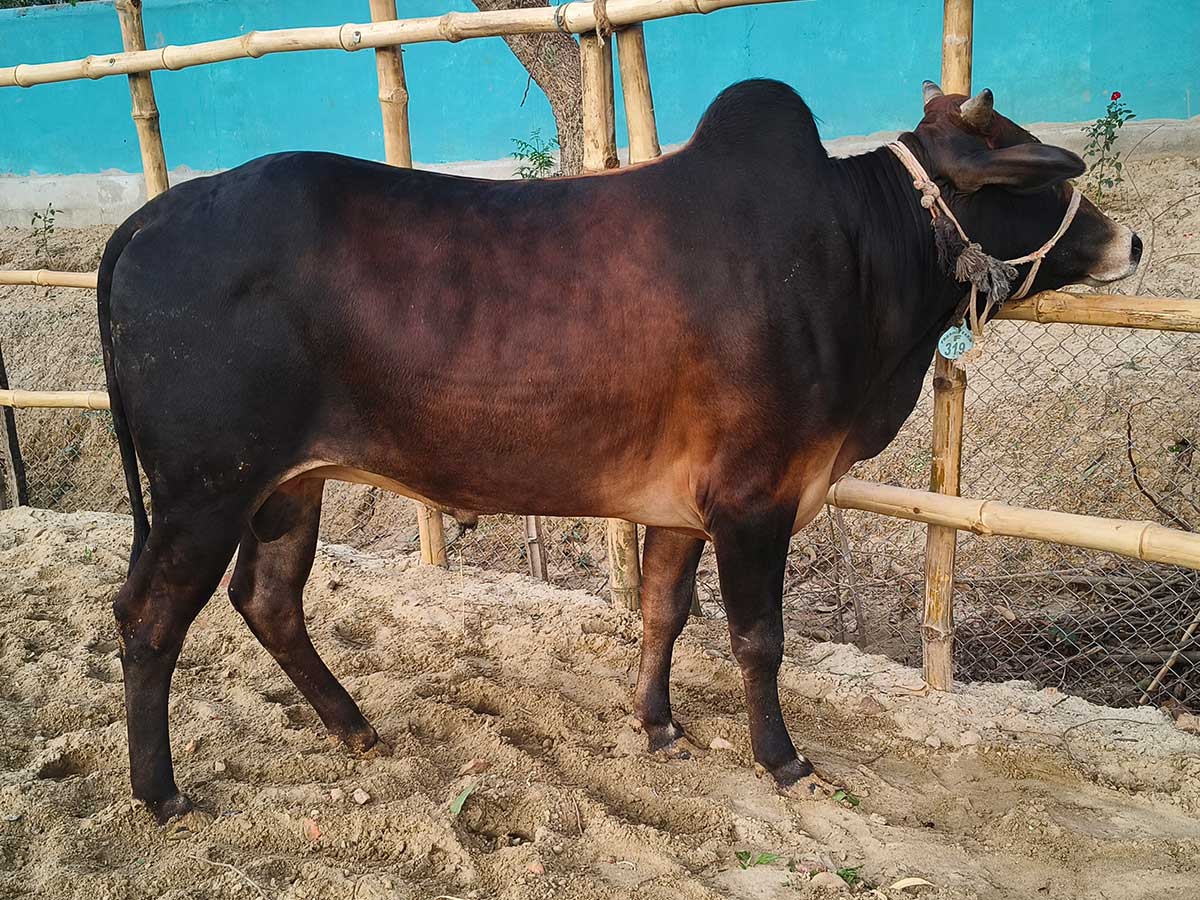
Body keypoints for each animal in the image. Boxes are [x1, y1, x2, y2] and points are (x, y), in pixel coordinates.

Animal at [97, 78, 1140, 822]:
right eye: (1038, 178)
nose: (1130, 240)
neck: (857, 252)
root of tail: (153, 216)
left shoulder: (681, 506)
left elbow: (661, 612)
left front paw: (659, 726)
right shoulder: (755, 500)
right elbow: (759, 638)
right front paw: (783, 761)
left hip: (288, 485)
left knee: (268, 599)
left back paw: (356, 728)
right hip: (203, 491)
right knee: (149, 617)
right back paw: (161, 793)